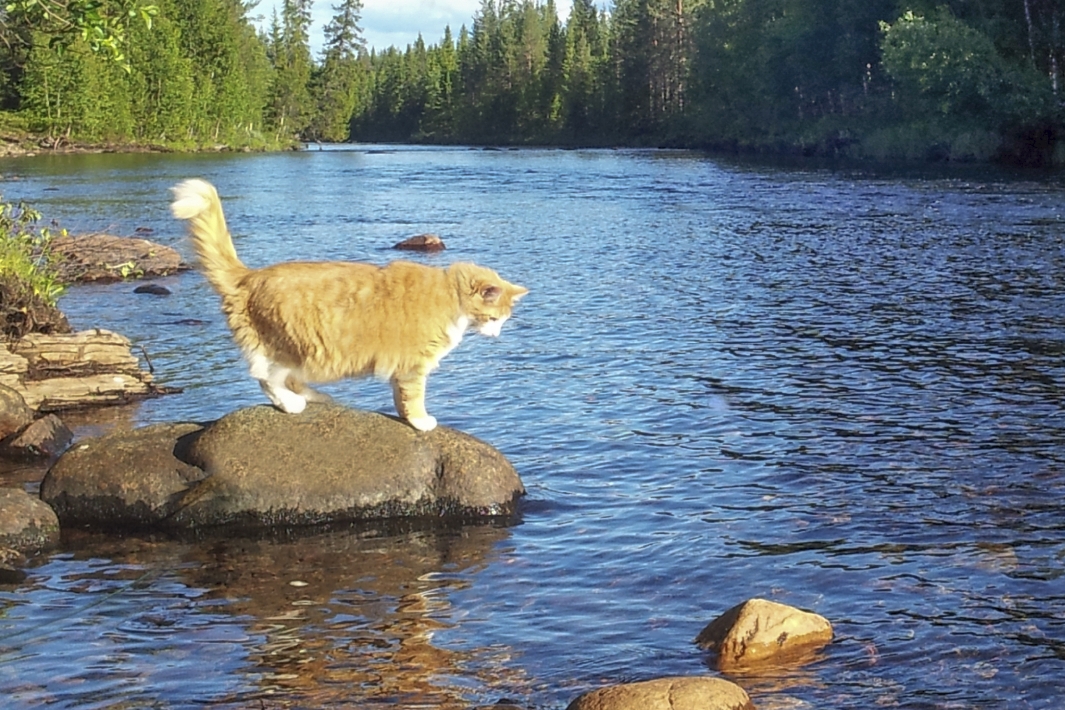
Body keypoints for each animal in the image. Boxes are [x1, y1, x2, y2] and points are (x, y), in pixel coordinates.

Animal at [167, 180, 528, 430]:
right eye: (496, 318)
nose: (497, 335)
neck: (448, 294)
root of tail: (249, 276)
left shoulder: (401, 369)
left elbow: (399, 398)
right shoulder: (414, 365)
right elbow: (413, 399)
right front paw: (421, 422)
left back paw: (314, 397)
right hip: (292, 348)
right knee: (266, 378)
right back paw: (292, 404)